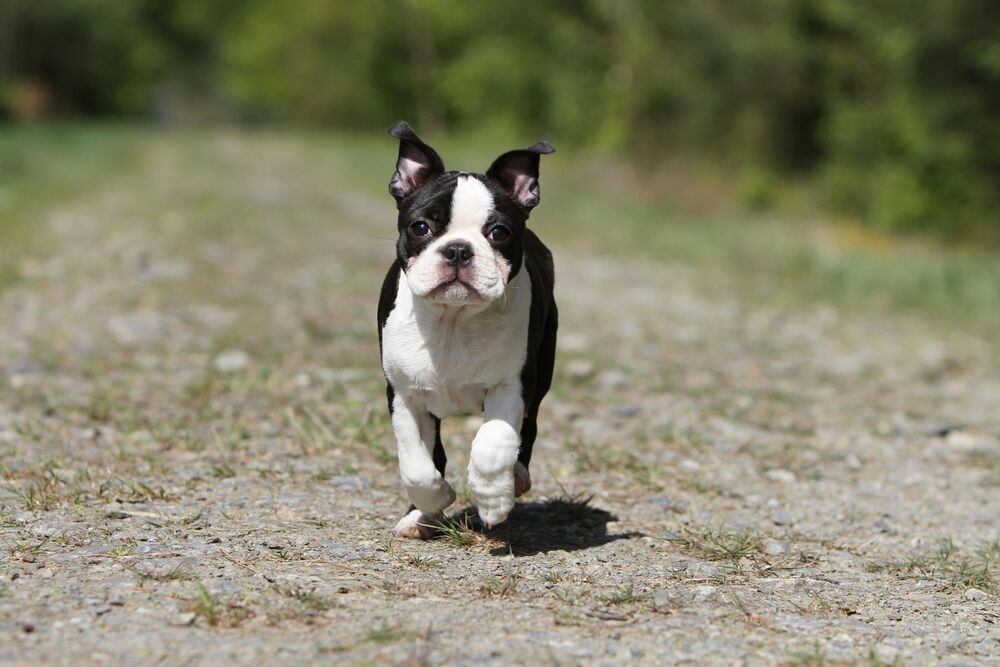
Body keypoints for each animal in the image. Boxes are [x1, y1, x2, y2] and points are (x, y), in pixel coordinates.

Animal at [378, 121, 560, 536]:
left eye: (499, 232)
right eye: (421, 226)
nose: (458, 249)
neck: (453, 320)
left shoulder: (511, 385)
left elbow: (493, 445)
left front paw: (493, 500)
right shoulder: (404, 395)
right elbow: (416, 463)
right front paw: (433, 501)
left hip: (543, 371)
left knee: (528, 431)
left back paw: (517, 478)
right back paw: (419, 517)